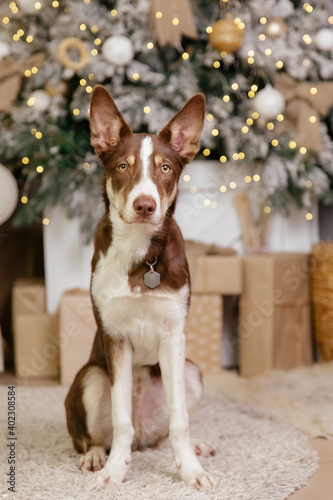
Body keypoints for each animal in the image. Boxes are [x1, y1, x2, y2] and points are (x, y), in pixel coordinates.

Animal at [65, 85, 215, 488]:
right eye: (123, 166)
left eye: (165, 168)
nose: (145, 206)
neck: (140, 254)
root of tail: (146, 436)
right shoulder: (114, 337)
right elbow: (121, 420)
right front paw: (116, 469)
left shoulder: (174, 336)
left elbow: (180, 420)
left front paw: (190, 471)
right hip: (89, 377)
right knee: (91, 435)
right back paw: (97, 455)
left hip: (192, 371)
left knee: (165, 432)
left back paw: (193, 447)